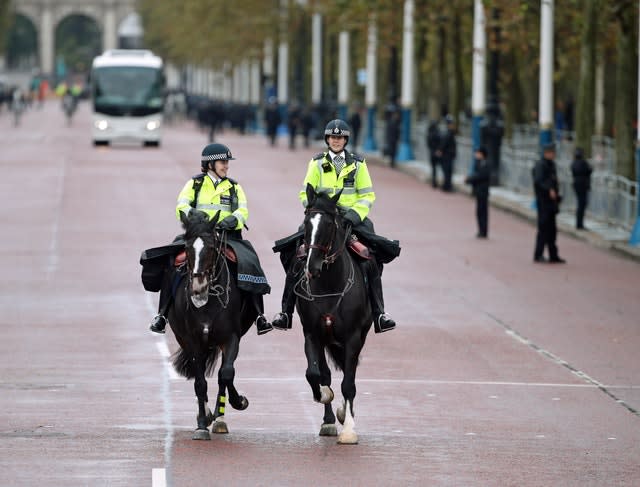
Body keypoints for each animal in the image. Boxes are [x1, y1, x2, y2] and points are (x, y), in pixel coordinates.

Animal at [296, 184, 372, 446]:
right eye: (306, 223)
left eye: (330, 225)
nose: (312, 267)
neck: (329, 283)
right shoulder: (312, 335)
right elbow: (315, 374)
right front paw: (325, 398)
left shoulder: (353, 338)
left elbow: (348, 384)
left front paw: (348, 429)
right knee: (326, 374)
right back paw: (329, 419)